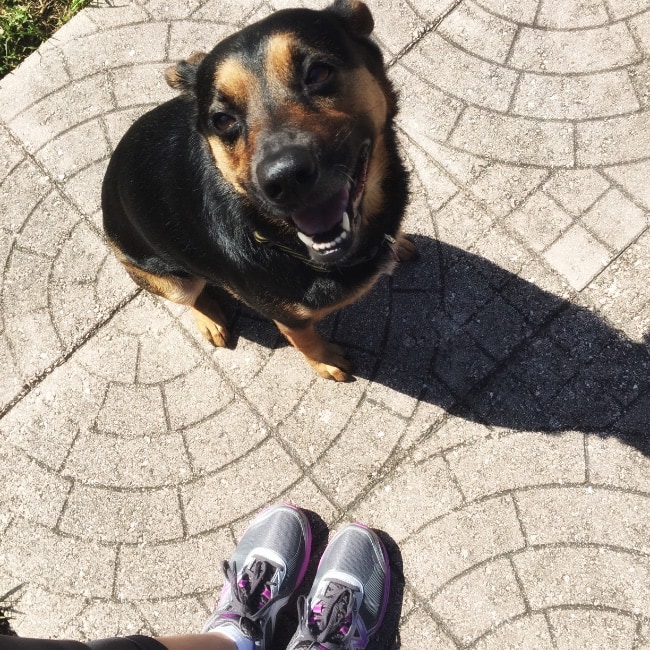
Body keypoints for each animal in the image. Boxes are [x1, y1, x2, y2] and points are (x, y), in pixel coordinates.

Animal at [101, 0, 416, 380]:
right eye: (222, 120)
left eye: (318, 73)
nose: (285, 179)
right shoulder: (289, 318)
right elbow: (305, 341)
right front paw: (325, 361)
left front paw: (400, 240)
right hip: (170, 278)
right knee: (190, 294)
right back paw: (208, 319)